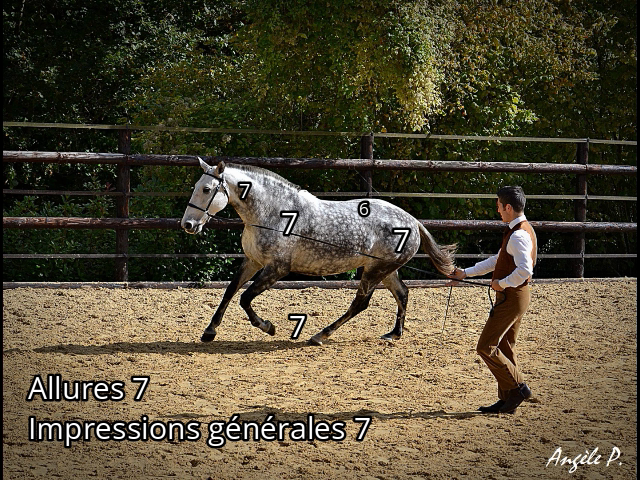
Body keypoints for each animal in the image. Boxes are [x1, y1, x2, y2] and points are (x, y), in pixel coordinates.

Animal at [181, 158, 456, 345]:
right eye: (196, 186)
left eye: (207, 189)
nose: (188, 225)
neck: (272, 212)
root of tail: (413, 222)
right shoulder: (252, 261)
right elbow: (230, 292)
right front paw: (209, 332)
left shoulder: (277, 269)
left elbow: (245, 298)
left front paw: (268, 327)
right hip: (383, 269)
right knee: (403, 294)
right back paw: (393, 334)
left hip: (375, 271)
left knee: (361, 304)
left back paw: (319, 335)